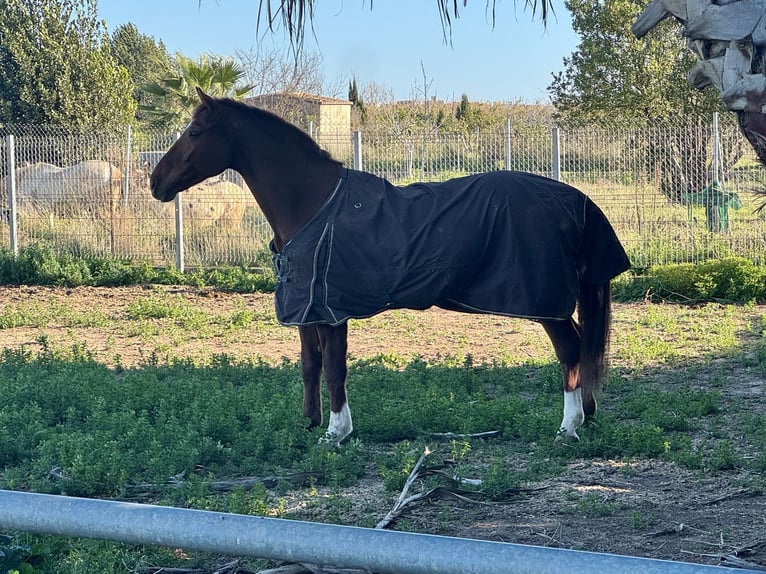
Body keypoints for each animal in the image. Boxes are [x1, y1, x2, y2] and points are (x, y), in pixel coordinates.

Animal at [150, 90, 632, 448]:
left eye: (195, 131)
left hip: (544, 303)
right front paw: (308, 425)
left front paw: (336, 433)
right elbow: (310, 364)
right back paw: (586, 416)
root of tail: (574, 200)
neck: (313, 204)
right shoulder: (306, 309)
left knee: (570, 350)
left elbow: (335, 368)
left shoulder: (332, 312)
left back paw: (568, 426)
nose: (155, 182)